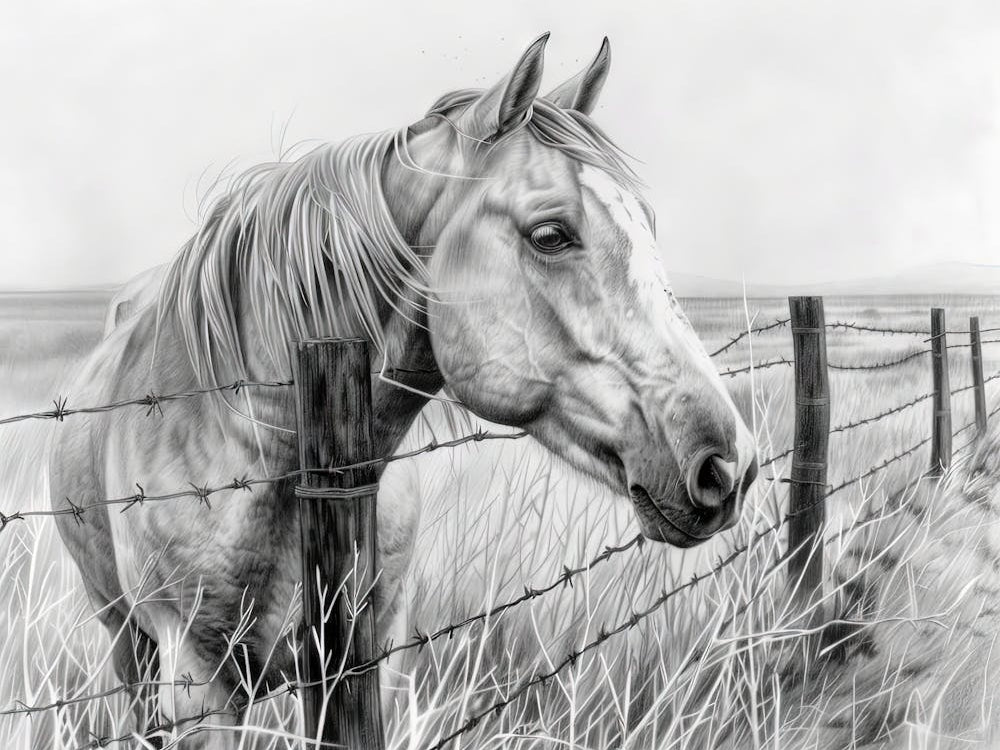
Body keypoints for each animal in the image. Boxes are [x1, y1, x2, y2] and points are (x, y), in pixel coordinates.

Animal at [49, 34, 759, 746]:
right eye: (551, 234)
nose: (730, 467)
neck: (266, 440)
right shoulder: (197, 682)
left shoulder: (374, 655)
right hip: (128, 646)